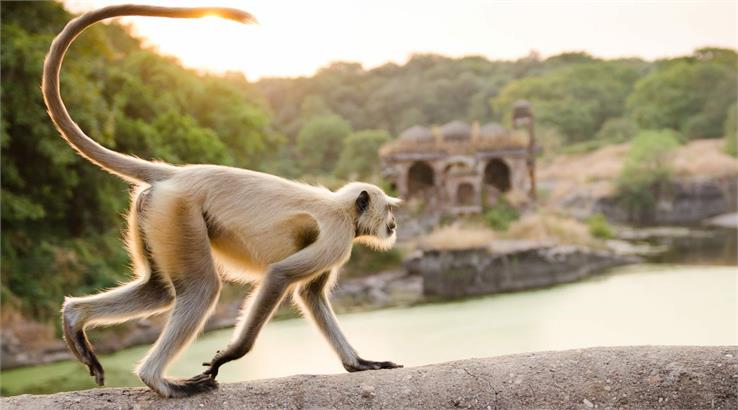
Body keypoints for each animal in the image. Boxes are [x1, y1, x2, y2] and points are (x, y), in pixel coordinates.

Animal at [44, 4, 402, 398]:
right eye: (389, 210)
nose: (394, 224)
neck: (343, 208)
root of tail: (175, 175)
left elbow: (311, 295)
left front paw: (359, 364)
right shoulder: (338, 236)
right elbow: (280, 276)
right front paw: (230, 355)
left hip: (156, 215)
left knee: (159, 291)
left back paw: (74, 319)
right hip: (178, 213)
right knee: (201, 288)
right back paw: (158, 379)